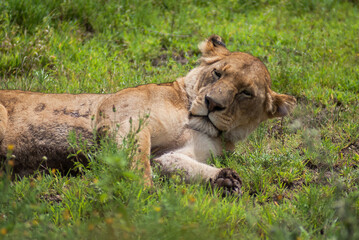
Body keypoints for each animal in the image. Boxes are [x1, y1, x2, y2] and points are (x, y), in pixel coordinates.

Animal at [0, 34, 296, 194]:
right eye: (217, 73)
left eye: (246, 93)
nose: (212, 103)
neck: (189, 117)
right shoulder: (123, 116)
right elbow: (138, 158)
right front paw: (142, 193)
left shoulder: (172, 154)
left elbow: (177, 165)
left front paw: (226, 180)